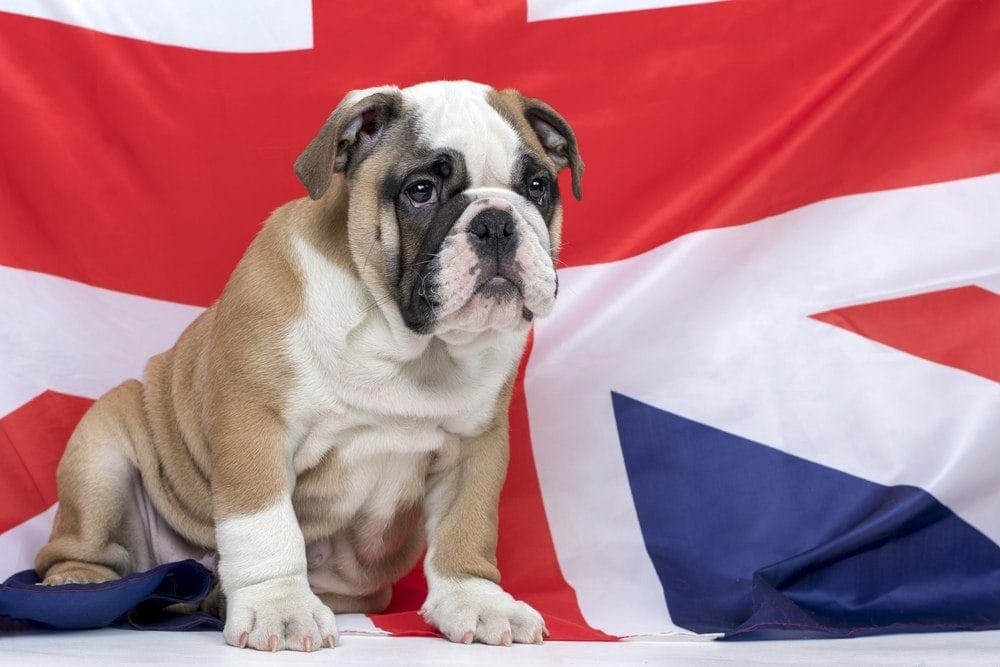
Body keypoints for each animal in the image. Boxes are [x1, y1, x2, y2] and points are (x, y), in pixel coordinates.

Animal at [35, 79, 584, 652]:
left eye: (538, 187)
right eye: (421, 191)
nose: (496, 221)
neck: (404, 341)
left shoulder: (475, 446)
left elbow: (466, 526)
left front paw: (476, 600)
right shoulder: (253, 426)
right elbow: (265, 527)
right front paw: (281, 608)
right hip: (99, 455)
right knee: (78, 548)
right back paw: (79, 583)